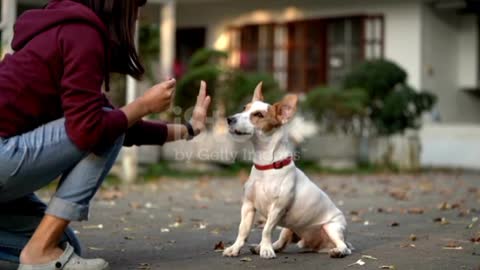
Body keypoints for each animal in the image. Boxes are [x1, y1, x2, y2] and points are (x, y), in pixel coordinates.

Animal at [222, 83, 352, 260]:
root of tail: (316, 244)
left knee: (344, 246)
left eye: (258, 115)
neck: (266, 165)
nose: (230, 119)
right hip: (288, 228)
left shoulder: (277, 208)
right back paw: (263, 247)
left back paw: (339, 251)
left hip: (332, 228)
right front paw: (235, 248)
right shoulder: (248, 205)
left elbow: (266, 229)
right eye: (244, 108)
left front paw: (266, 249)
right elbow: (243, 230)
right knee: (281, 244)